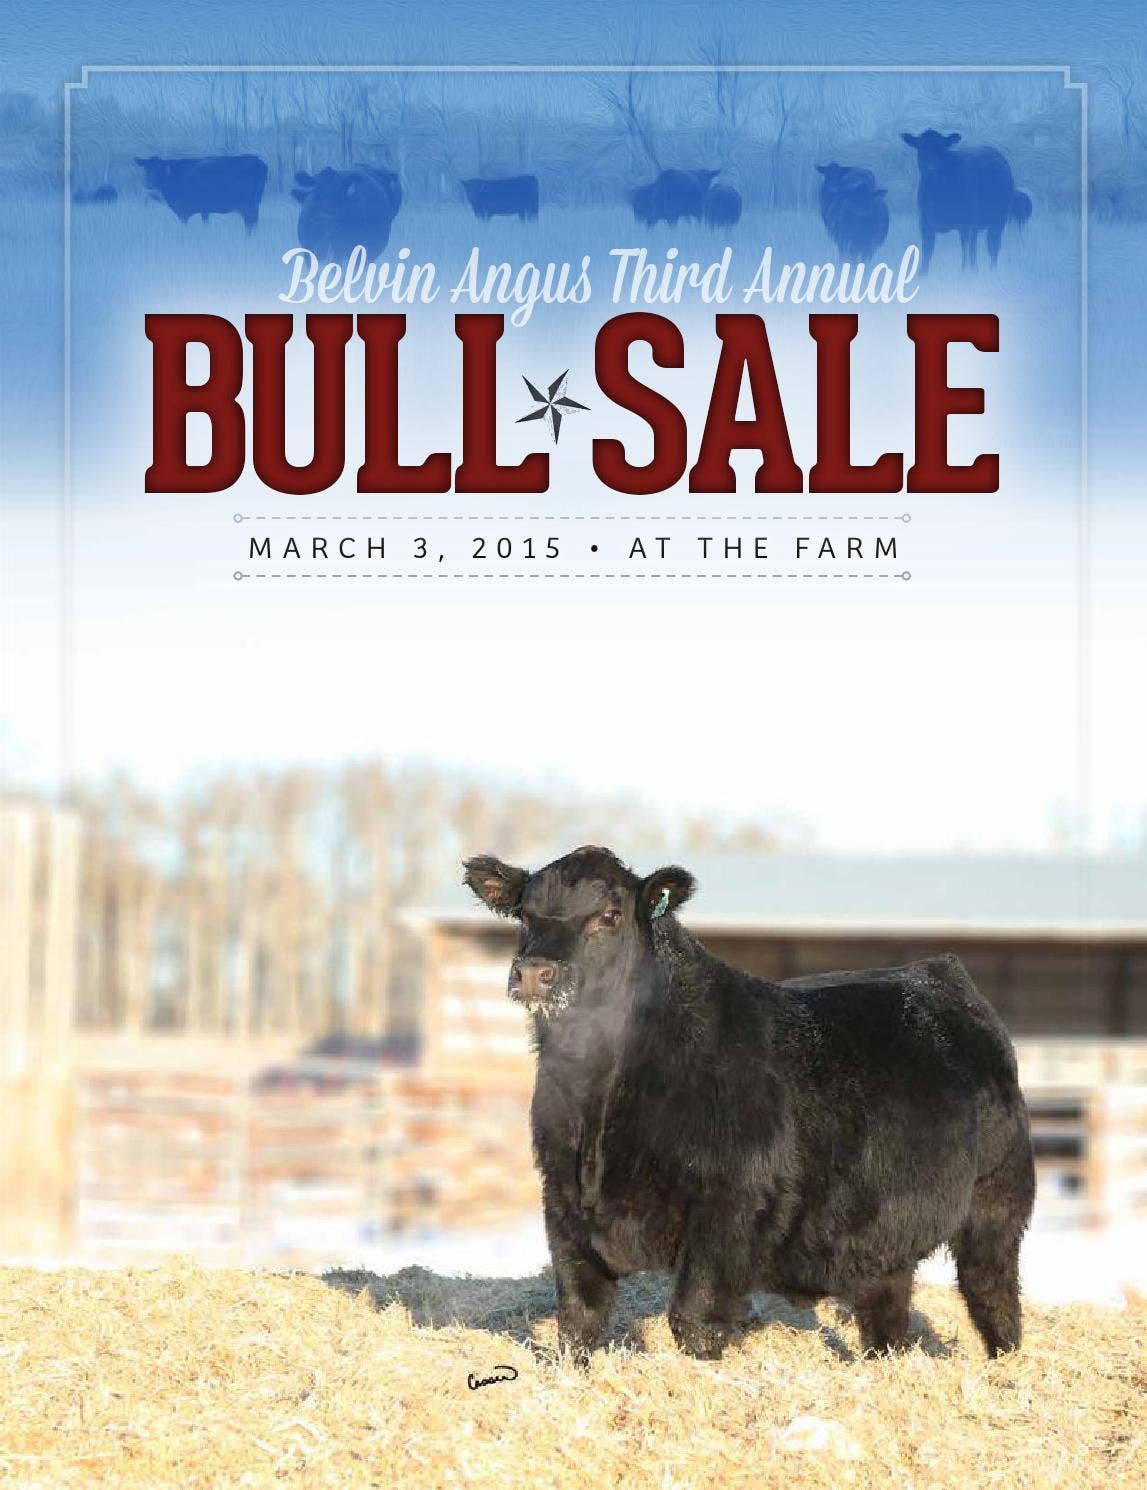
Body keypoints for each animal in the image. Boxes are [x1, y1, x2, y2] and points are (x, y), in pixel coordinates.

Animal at [134, 154, 267, 231]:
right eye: (147, 168)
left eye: (159, 168)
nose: (149, 182)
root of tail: (256, 159)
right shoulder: (204, 210)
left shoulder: (182, 211)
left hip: (248, 205)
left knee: (250, 224)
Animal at [463, 845, 1035, 1364]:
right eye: (526, 914)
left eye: (609, 915)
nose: (535, 972)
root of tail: (935, 969)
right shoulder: (563, 1202)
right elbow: (579, 1318)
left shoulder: (731, 1208)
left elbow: (693, 1319)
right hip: (883, 1231)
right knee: (887, 1312)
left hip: (996, 1205)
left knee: (993, 1294)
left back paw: (1005, 1368)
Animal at [902, 130, 1030, 272]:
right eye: (921, 147)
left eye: (942, 148)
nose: (931, 168)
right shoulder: (925, 222)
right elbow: (927, 253)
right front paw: (923, 273)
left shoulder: (968, 222)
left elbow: (968, 250)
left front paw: (968, 272)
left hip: (997, 220)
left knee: (991, 246)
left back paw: (989, 270)